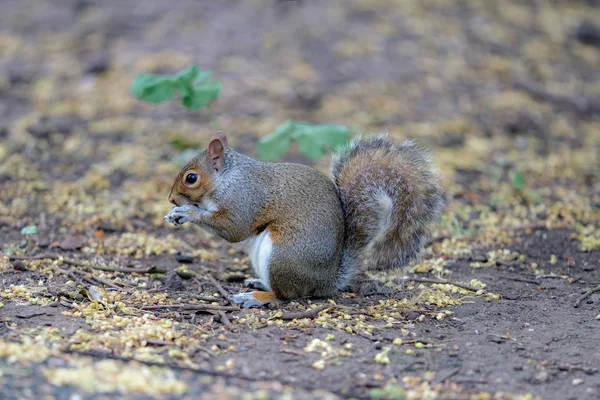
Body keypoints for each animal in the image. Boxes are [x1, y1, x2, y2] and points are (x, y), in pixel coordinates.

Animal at [166, 131, 442, 306]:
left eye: (191, 178)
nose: (171, 199)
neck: (227, 179)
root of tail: (327, 281)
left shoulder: (244, 199)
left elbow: (234, 229)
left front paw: (187, 213)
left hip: (282, 256)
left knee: (287, 295)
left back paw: (256, 298)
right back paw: (259, 284)